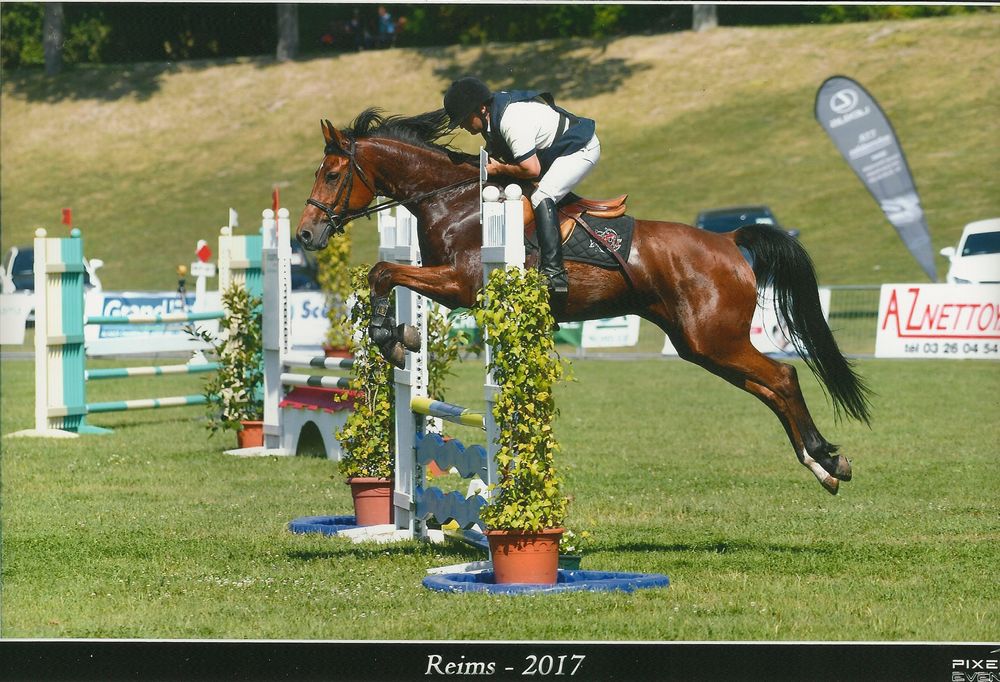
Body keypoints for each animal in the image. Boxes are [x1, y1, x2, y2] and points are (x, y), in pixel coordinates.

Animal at [296, 108, 871, 495]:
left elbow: (383, 272)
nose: (305, 234)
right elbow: (384, 276)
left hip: (715, 337)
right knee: (769, 389)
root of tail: (729, 242)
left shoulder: (460, 284)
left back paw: (825, 457)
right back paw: (824, 465)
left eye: (331, 174)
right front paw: (397, 337)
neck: (454, 200)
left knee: (784, 378)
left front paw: (394, 339)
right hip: (700, 345)